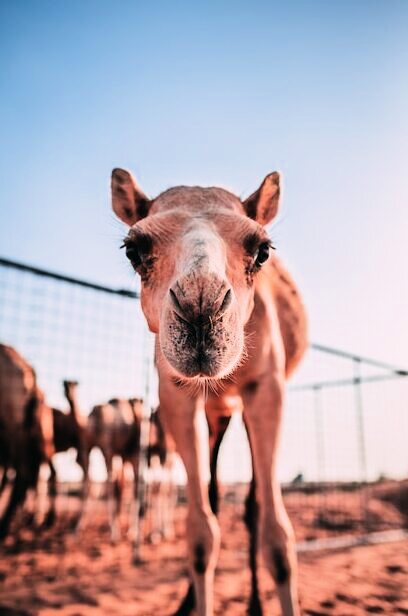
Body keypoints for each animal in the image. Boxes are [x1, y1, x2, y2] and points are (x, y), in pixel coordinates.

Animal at [110, 165, 308, 616]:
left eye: (262, 250)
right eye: (133, 250)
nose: (200, 308)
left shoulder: (266, 387)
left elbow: (278, 536)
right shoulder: (175, 392)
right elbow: (200, 535)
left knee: (252, 505)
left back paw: (254, 604)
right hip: (217, 410)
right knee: (214, 495)